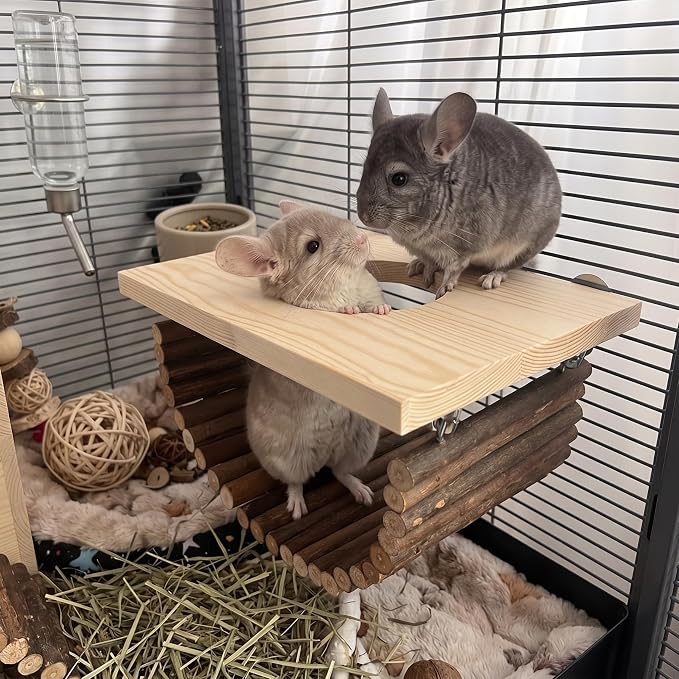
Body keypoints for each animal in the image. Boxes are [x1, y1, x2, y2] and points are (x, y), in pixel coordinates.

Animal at [214, 200, 388, 519]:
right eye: (312, 246)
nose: (363, 239)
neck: (348, 284)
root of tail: (325, 453)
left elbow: (375, 304)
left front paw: (382, 309)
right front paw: (349, 310)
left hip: (361, 444)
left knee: (340, 472)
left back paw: (363, 493)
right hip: (287, 459)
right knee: (296, 482)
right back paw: (297, 508)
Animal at [356, 89, 561, 297]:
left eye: (398, 179)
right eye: (364, 169)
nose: (363, 217)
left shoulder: (464, 246)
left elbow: (454, 268)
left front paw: (443, 289)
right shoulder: (420, 248)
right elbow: (429, 262)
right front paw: (422, 268)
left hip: (526, 244)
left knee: (510, 266)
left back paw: (493, 277)